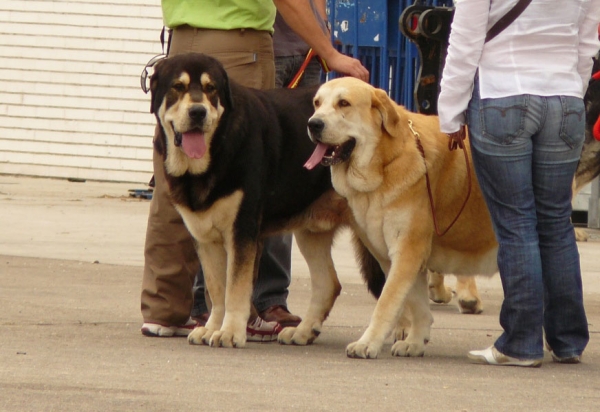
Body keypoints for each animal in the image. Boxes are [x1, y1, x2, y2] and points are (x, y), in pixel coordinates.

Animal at [149, 51, 372, 348]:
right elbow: (217, 289)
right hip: (311, 232)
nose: (198, 111)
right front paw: (212, 328)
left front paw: (230, 332)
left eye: (211, 89)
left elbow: (235, 288)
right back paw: (302, 332)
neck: (216, 150)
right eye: (178, 86)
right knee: (328, 284)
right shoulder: (205, 237)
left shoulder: (242, 232)